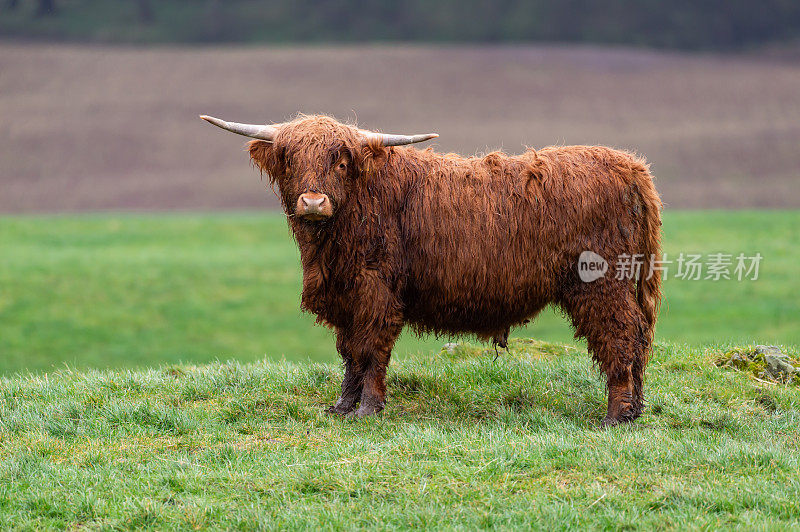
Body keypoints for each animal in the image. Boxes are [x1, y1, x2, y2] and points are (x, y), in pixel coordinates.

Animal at [202, 114, 664, 426]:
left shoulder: (376, 291)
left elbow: (370, 349)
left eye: (341, 161)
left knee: (621, 337)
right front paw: (341, 406)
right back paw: (635, 410)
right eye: (291, 159)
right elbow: (349, 352)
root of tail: (630, 167)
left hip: (601, 284)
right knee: (638, 339)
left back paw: (615, 415)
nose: (313, 202)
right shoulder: (346, 295)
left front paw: (368, 409)